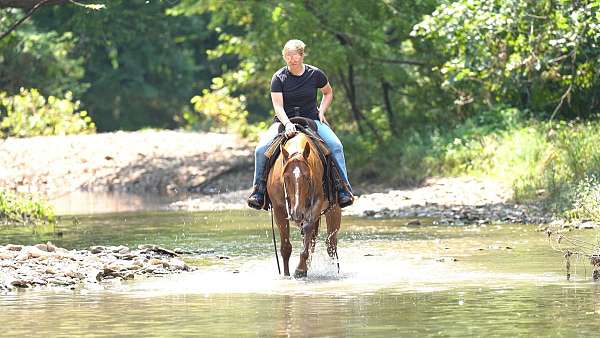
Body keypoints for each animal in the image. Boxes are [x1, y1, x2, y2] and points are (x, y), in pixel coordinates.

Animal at [268, 130, 342, 278]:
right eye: (285, 177)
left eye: (308, 177)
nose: (297, 213)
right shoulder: (279, 209)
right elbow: (286, 247)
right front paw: (286, 275)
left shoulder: (316, 204)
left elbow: (308, 228)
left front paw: (300, 269)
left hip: (333, 209)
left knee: (330, 244)